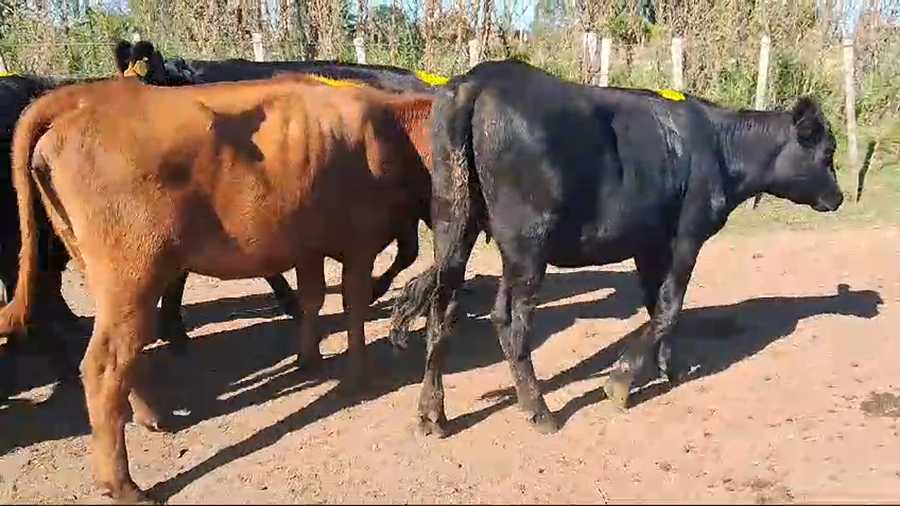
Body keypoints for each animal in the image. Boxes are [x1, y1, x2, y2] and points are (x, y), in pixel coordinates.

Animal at [0, 73, 434, 503]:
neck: (395, 128)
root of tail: (84, 98)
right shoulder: (360, 242)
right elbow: (354, 306)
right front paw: (359, 373)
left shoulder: (306, 245)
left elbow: (313, 298)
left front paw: (308, 359)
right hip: (131, 276)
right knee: (105, 364)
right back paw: (122, 484)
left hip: (101, 274)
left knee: (120, 357)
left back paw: (152, 417)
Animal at [388, 59, 844, 437]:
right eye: (827, 152)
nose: (839, 197)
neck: (717, 145)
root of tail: (479, 79)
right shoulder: (687, 235)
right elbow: (670, 307)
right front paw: (622, 381)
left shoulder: (649, 244)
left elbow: (658, 306)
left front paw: (670, 367)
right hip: (527, 245)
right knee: (510, 320)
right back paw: (539, 410)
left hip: (453, 226)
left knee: (442, 310)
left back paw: (432, 414)